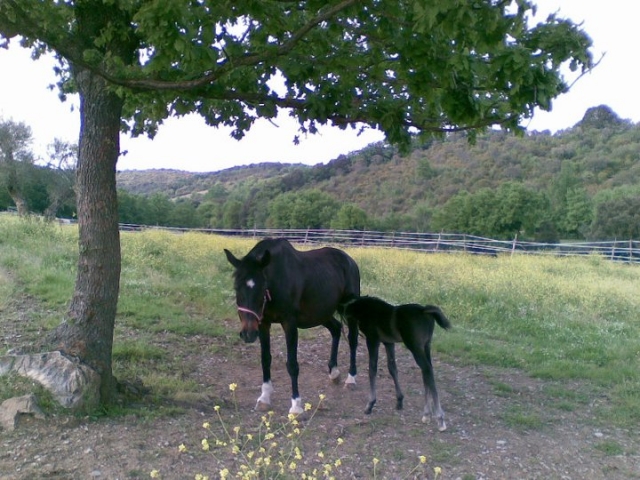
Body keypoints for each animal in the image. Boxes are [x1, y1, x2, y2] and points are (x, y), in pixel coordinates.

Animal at [224, 238, 360, 414]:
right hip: (321, 313)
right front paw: (264, 398)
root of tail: (350, 260)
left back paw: (351, 379)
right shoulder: (263, 323)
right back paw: (334, 372)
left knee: (352, 340)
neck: (277, 280)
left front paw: (296, 406)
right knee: (336, 329)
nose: (248, 334)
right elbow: (265, 359)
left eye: (262, 287)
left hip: (348, 309)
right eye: (236, 287)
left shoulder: (289, 323)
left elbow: (292, 365)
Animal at [341, 295, 451, 431]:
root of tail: (424, 310)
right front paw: (399, 401)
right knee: (427, 371)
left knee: (426, 369)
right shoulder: (389, 342)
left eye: (347, 316)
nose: (350, 332)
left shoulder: (373, 340)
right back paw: (426, 414)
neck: (368, 310)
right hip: (426, 346)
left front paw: (370, 404)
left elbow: (372, 369)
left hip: (415, 346)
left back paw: (439, 419)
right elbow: (392, 368)